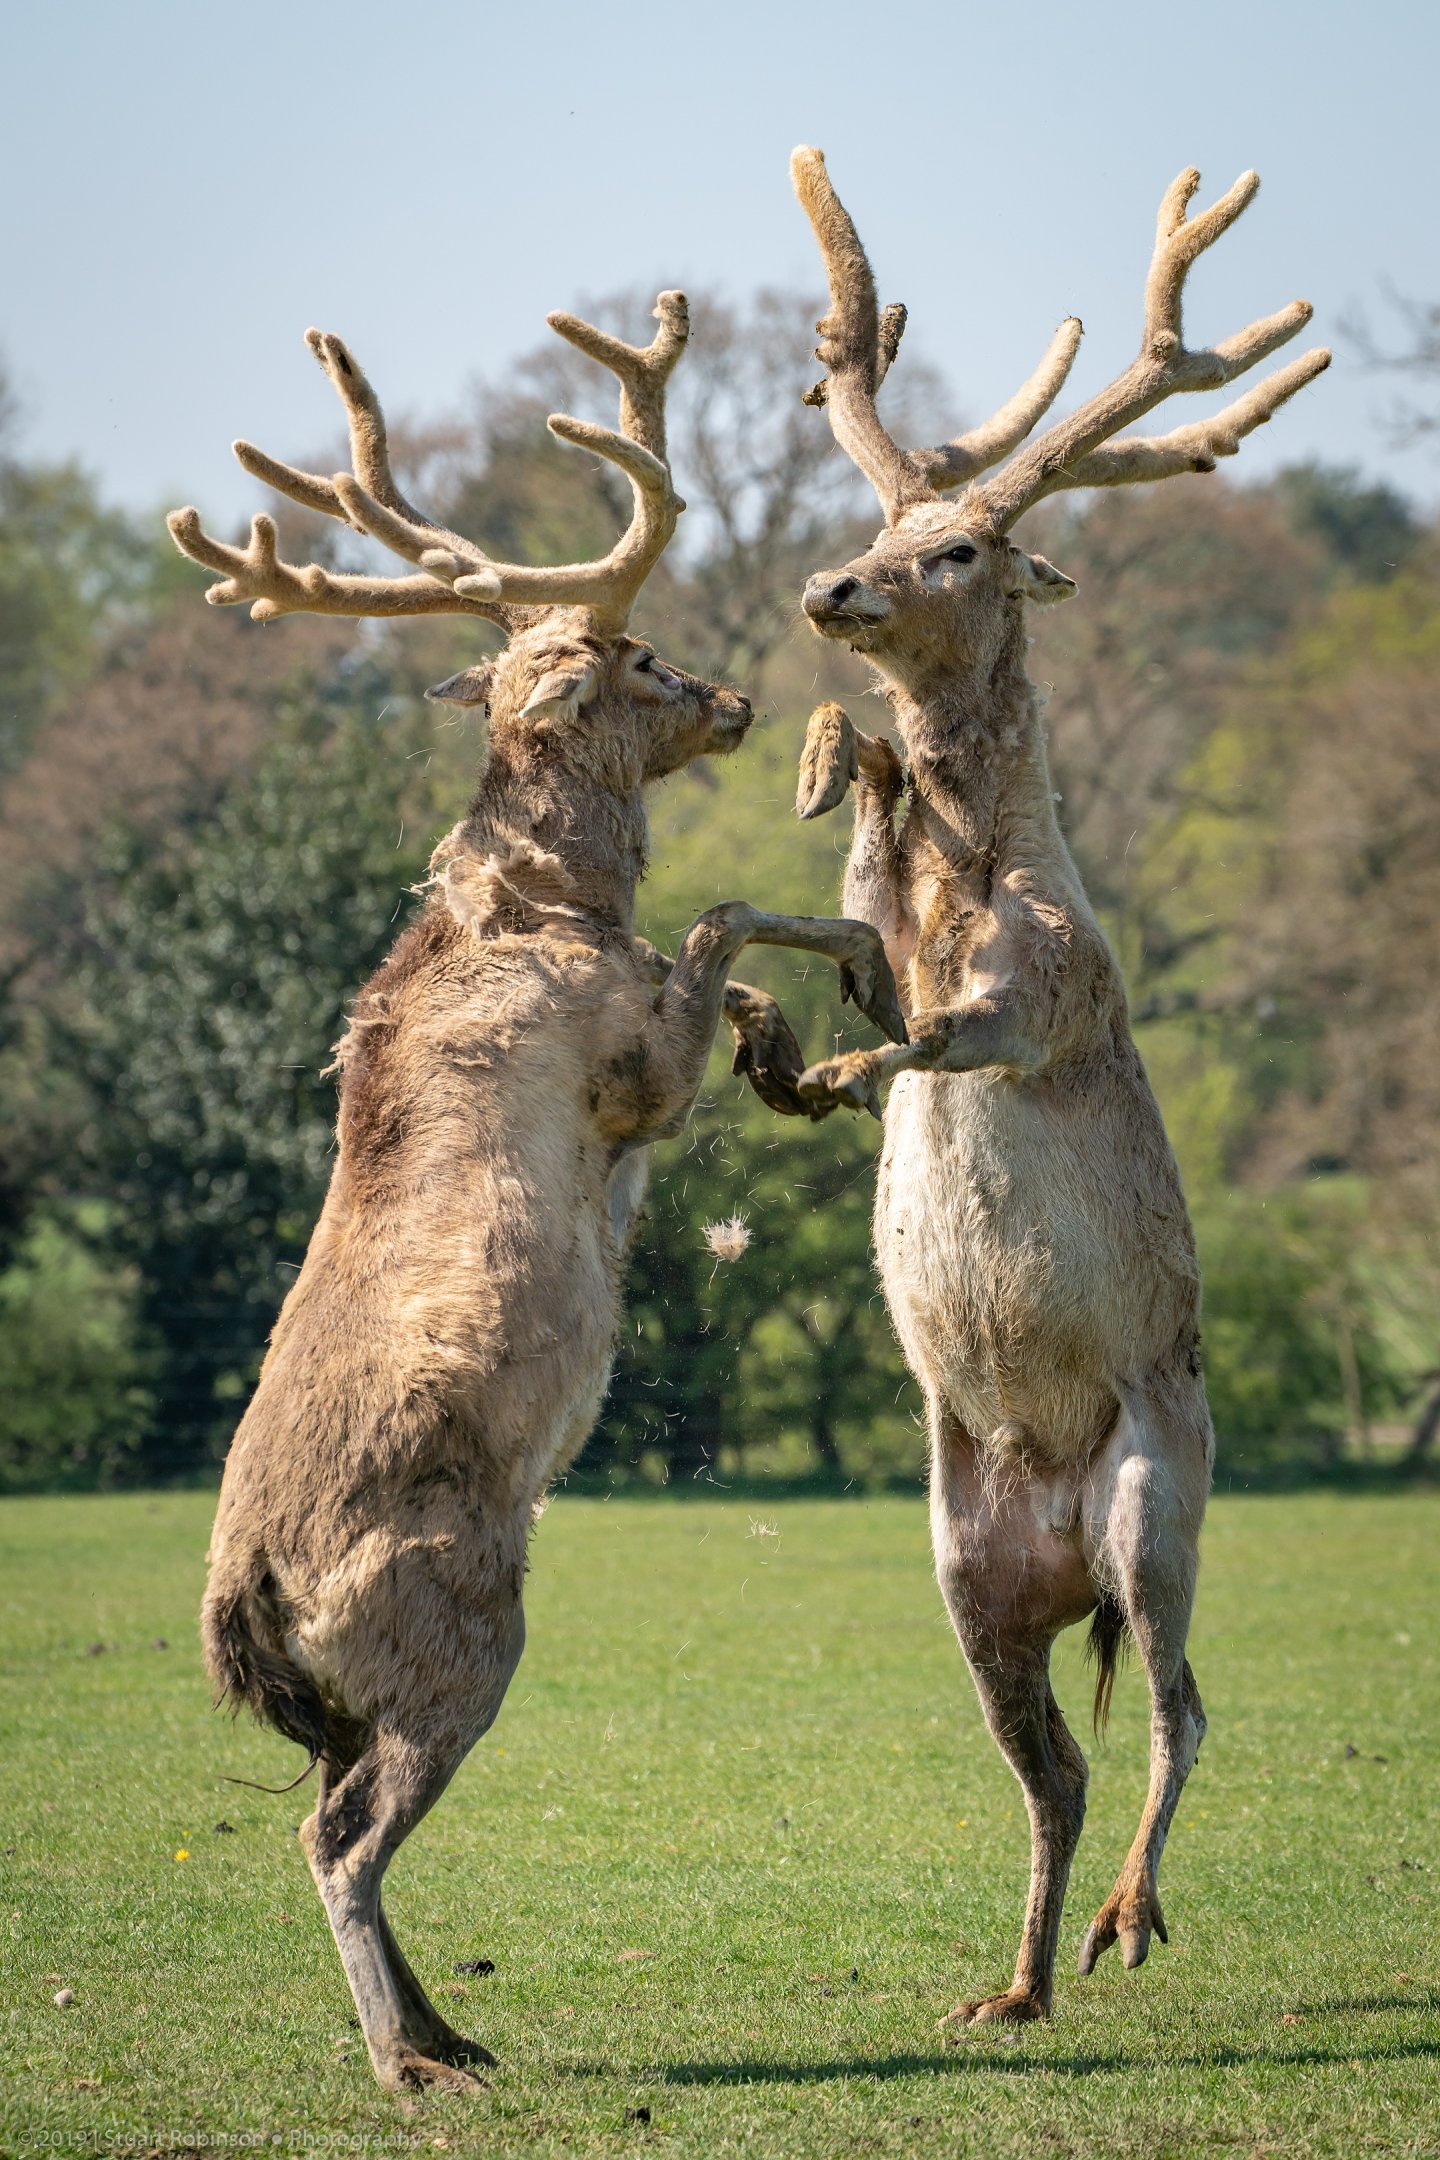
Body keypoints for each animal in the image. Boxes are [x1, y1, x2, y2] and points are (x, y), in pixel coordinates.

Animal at [167, 289, 904, 2092]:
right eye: (631, 657)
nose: (725, 690)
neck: (551, 911)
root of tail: (247, 1611)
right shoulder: (627, 1061)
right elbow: (718, 917)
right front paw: (837, 983)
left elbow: (724, 941)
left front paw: (800, 1042)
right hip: (452, 1624)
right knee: (341, 1835)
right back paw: (408, 2060)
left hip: (362, 1689)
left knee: (327, 1816)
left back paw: (455, 2030)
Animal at [787, 147, 1329, 2027]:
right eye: (877, 524)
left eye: (958, 546)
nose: (834, 590)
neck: (970, 883)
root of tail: (1057, 1533)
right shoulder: (892, 931)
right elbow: (846, 935)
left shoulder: (1056, 989)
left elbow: (948, 1034)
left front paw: (835, 1066)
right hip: (966, 1560)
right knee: (1056, 1762)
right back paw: (1011, 1983)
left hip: (1159, 1489)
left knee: (1182, 1706)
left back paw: (1126, 1924)